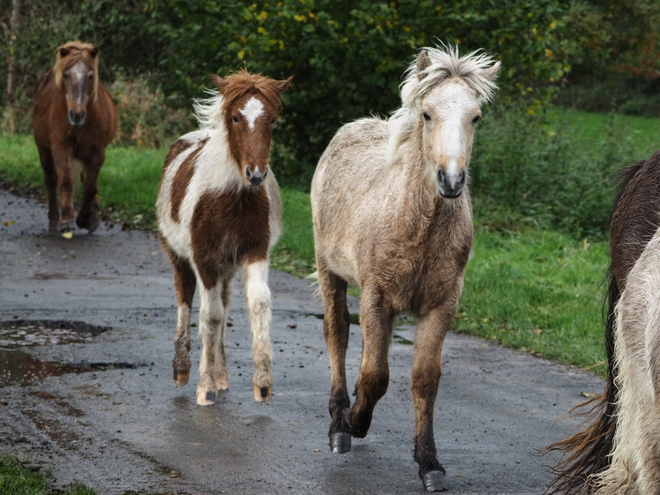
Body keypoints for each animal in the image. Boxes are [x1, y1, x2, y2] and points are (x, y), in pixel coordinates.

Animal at [32, 41, 118, 235]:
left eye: (90, 76)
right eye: (66, 75)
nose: (76, 115)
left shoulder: (97, 151)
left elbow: (90, 187)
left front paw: (86, 219)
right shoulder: (61, 147)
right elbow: (65, 182)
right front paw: (68, 219)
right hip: (44, 150)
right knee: (51, 180)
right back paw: (54, 219)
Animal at [157, 71, 292, 408]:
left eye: (272, 119)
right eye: (235, 117)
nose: (256, 174)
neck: (232, 198)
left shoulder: (255, 252)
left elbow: (257, 304)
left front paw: (262, 383)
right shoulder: (203, 260)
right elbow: (210, 315)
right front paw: (204, 387)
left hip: (227, 267)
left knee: (226, 302)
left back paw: (221, 375)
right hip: (180, 259)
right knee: (185, 298)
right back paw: (183, 370)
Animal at [312, 43, 498, 492]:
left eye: (476, 117)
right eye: (427, 114)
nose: (451, 180)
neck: (419, 226)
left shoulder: (441, 304)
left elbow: (424, 378)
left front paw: (429, 463)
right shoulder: (376, 295)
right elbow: (375, 374)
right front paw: (354, 422)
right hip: (330, 272)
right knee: (337, 333)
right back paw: (339, 420)